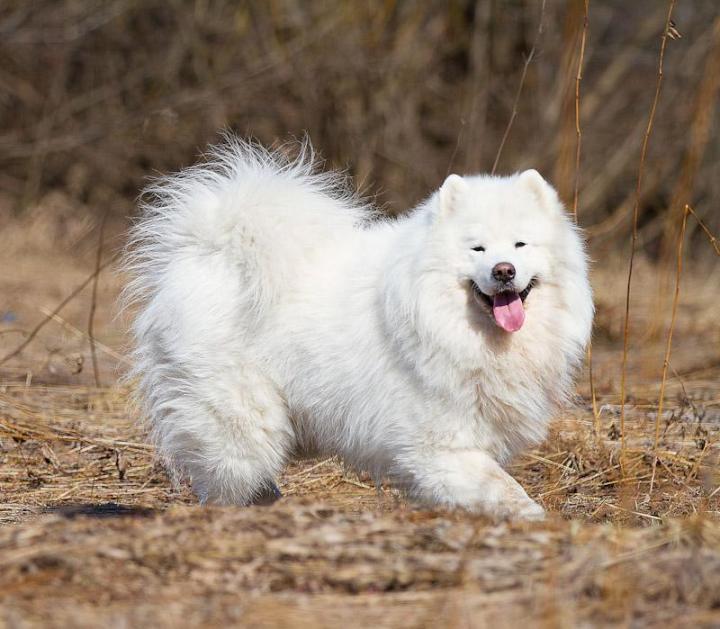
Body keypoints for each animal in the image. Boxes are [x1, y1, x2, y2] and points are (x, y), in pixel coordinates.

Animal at [126, 140, 592, 516]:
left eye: (520, 244)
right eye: (476, 248)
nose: (503, 270)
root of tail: (209, 249)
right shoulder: (438, 444)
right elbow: (505, 489)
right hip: (240, 419)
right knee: (228, 481)